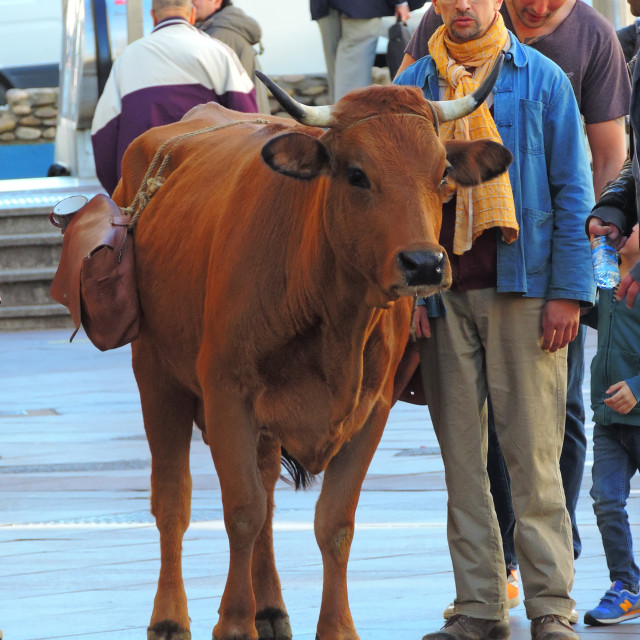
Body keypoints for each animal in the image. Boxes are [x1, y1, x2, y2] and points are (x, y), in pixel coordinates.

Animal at [114, 61, 510, 640]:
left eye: (442, 173)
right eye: (356, 174)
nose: (424, 263)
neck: (332, 313)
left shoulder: (372, 409)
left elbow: (333, 523)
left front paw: (336, 627)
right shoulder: (227, 396)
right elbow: (241, 511)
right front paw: (233, 623)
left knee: (267, 501)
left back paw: (271, 608)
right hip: (156, 375)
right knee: (174, 502)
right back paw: (170, 616)